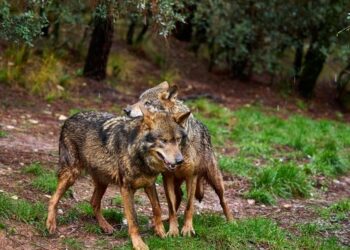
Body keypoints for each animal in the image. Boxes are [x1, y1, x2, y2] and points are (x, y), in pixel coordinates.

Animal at [46, 108, 190, 250]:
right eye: (164, 141)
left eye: (177, 140)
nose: (180, 161)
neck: (139, 154)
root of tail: (70, 118)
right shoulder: (126, 189)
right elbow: (133, 219)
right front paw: (138, 244)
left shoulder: (149, 184)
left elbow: (157, 208)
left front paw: (160, 232)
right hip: (72, 175)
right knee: (53, 199)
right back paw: (50, 224)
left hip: (103, 182)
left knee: (93, 202)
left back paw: (105, 226)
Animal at [123, 81, 232, 236]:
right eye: (139, 100)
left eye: (147, 103)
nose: (126, 110)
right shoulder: (167, 177)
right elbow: (171, 207)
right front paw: (173, 230)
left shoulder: (191, 177)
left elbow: (189, 206)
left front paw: (187, 229)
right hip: (176, 181)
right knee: (178, 196)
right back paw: (165, 220)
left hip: (215, 179)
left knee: (223, 200)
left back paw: (232, 222)